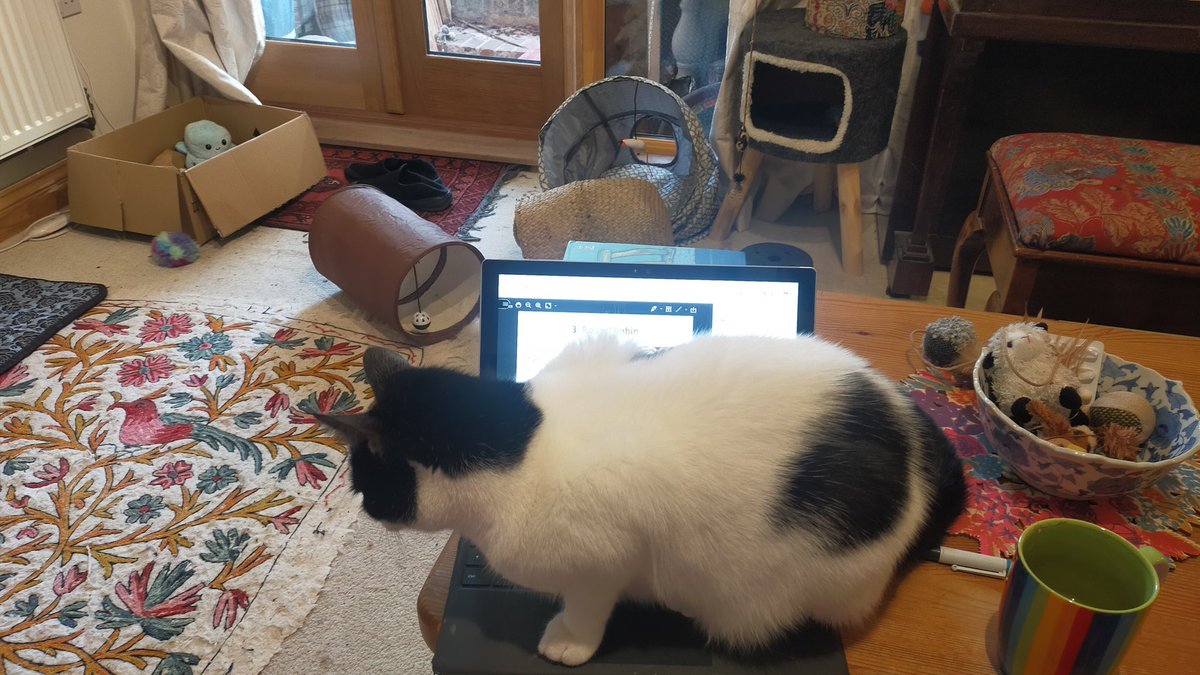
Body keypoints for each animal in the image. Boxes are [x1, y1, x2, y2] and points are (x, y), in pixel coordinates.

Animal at [316, 333, 964, 662]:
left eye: (364, 485)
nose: (367, 511)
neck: (521, 441)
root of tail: (916, 443)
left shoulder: (604, 558)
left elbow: (588, 605)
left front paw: (570, 640)